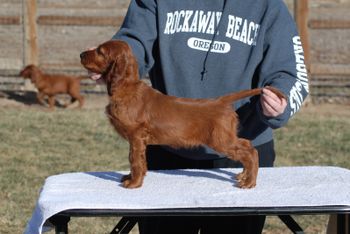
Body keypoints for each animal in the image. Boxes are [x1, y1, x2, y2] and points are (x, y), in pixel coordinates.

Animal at [80, 40, 286, 189]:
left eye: (100, 51)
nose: (81, 54)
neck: (126, 88)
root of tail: (220, 101)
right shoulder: (138, 140)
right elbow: (139, 161)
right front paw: (132, 178)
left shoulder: (136, 136)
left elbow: (134, 160)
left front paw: (134, 183)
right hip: (225, 137)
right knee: (247, 145)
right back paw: (244, 175)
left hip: (220, 140)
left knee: (250, 151)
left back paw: (250, 182)